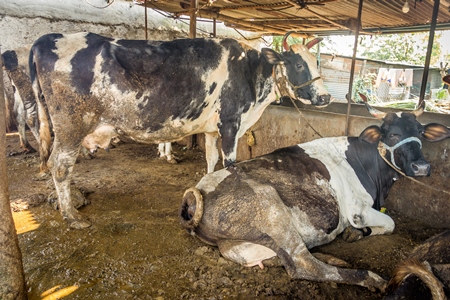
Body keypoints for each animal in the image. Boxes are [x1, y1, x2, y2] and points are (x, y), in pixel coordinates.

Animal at [29, 31, 330, 227]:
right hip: (71, 125)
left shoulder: (211, 129)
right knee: (60, 166)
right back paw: (72, 216)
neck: (250, 70)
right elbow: (230, 164)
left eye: (317, 63)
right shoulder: (230, 123)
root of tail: (48, 38)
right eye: (298, 64)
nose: (325, 97)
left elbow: (211, 160)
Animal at [179, 101, 450, 290]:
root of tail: (194, 195)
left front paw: (355, 234)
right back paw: (372, 278)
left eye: (421, 132)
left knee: (280, 257)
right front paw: (360, 232)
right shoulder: (358, 210)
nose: (422, 167)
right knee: (303, 264)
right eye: (392, 134)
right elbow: (391, 223)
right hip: (271, 207)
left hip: (240, 244)